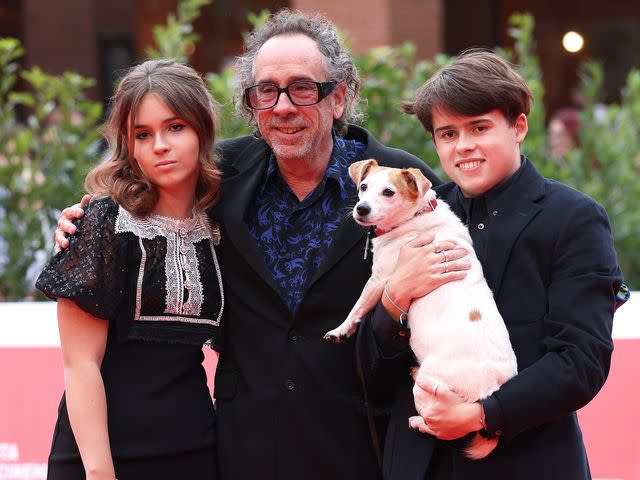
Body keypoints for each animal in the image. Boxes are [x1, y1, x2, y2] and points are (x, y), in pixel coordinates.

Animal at [328, 159, 516, 460]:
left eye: (389, 192)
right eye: (363, 187)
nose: (361, 209)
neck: (415, 216)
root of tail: (491, 390)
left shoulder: (380, 280)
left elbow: (358, 306)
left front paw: (340, 329)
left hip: (430, 387)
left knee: (439, 424)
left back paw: (419, 420)